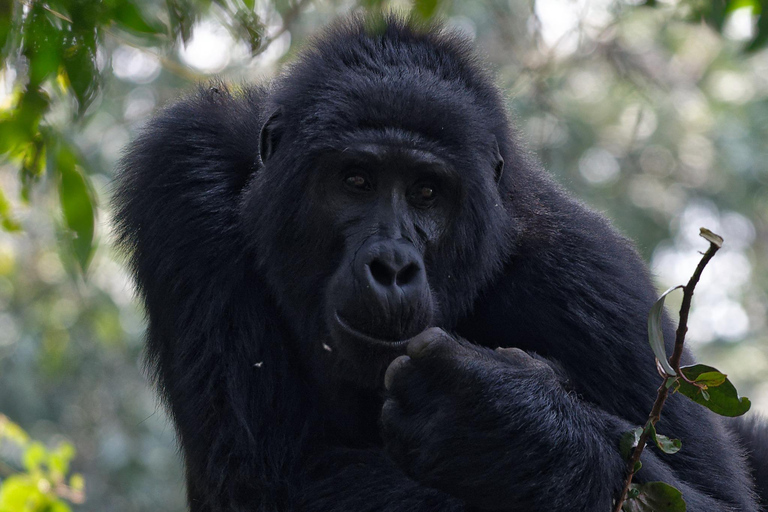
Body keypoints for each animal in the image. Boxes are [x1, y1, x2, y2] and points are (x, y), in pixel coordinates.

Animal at [115, 14, 768, 510]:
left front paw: (506, 430)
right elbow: (265, 481)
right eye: (356, 180)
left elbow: (714, 499)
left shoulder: (593, 280)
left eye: (427, 192)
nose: (392, 265)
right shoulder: (182, 168)